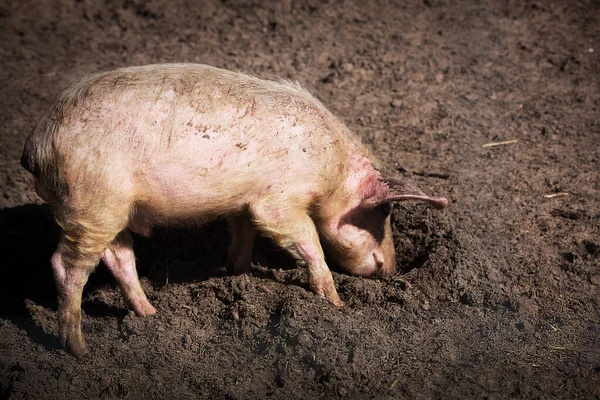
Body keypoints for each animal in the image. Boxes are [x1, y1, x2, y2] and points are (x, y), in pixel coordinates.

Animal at [21, 63, 448, 356]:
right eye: (382, 215)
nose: (391, 270)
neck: (333, 169)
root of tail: (35, 146)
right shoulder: (279, 197)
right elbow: (307, 242)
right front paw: (336, 303)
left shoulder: (243, 204)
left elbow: (243, 235)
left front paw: (238, 275)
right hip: (91, 199)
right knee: (65, 265)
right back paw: (79, 350)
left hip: (111, 209)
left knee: (120, 258)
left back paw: (151, 315)